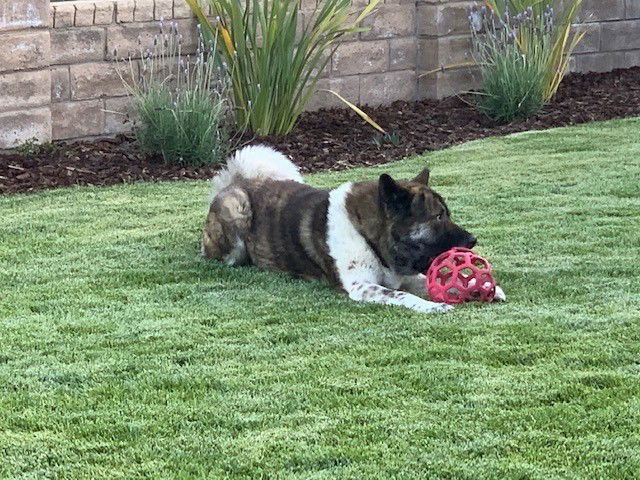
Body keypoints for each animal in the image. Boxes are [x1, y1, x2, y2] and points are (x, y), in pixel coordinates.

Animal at [201, 144, 504, 314]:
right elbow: (402, 295)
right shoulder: (361, 286)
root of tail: (235, 183)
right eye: (438, 216)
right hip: (237, 212)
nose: (473, 239)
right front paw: (433, 306)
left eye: (446, 214)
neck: (368, 234)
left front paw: (481, 286)